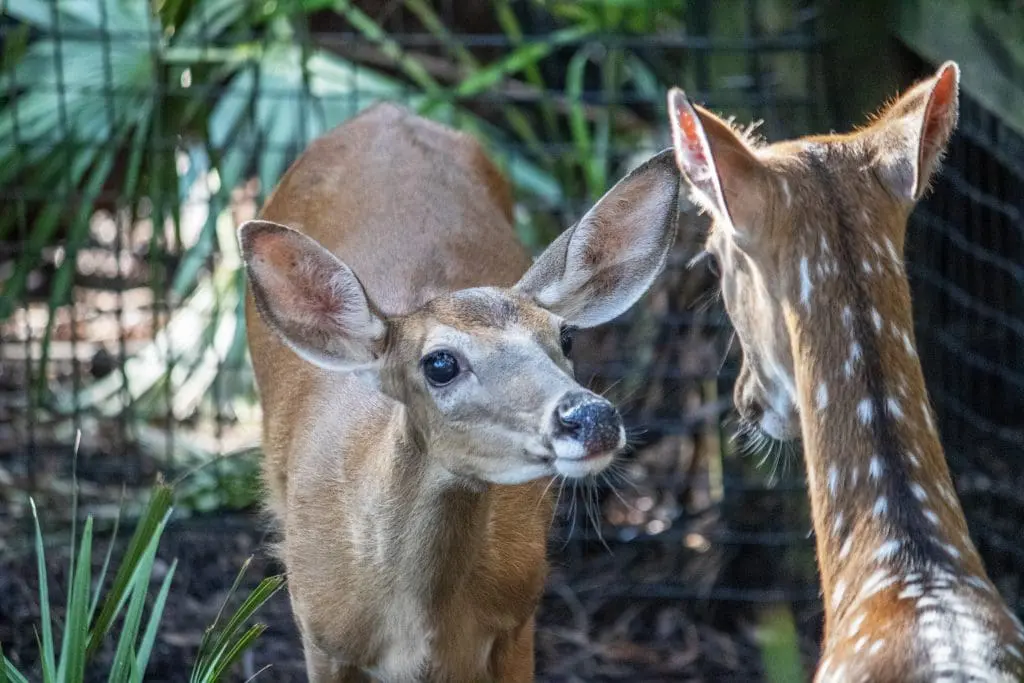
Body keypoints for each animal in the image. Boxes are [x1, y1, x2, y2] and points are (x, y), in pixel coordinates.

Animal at [238, 102, 679, 683]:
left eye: (564, 337)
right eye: (440, 363)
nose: (590, 417)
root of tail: (385, 109)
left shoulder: (519, 614)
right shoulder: (320, 634)